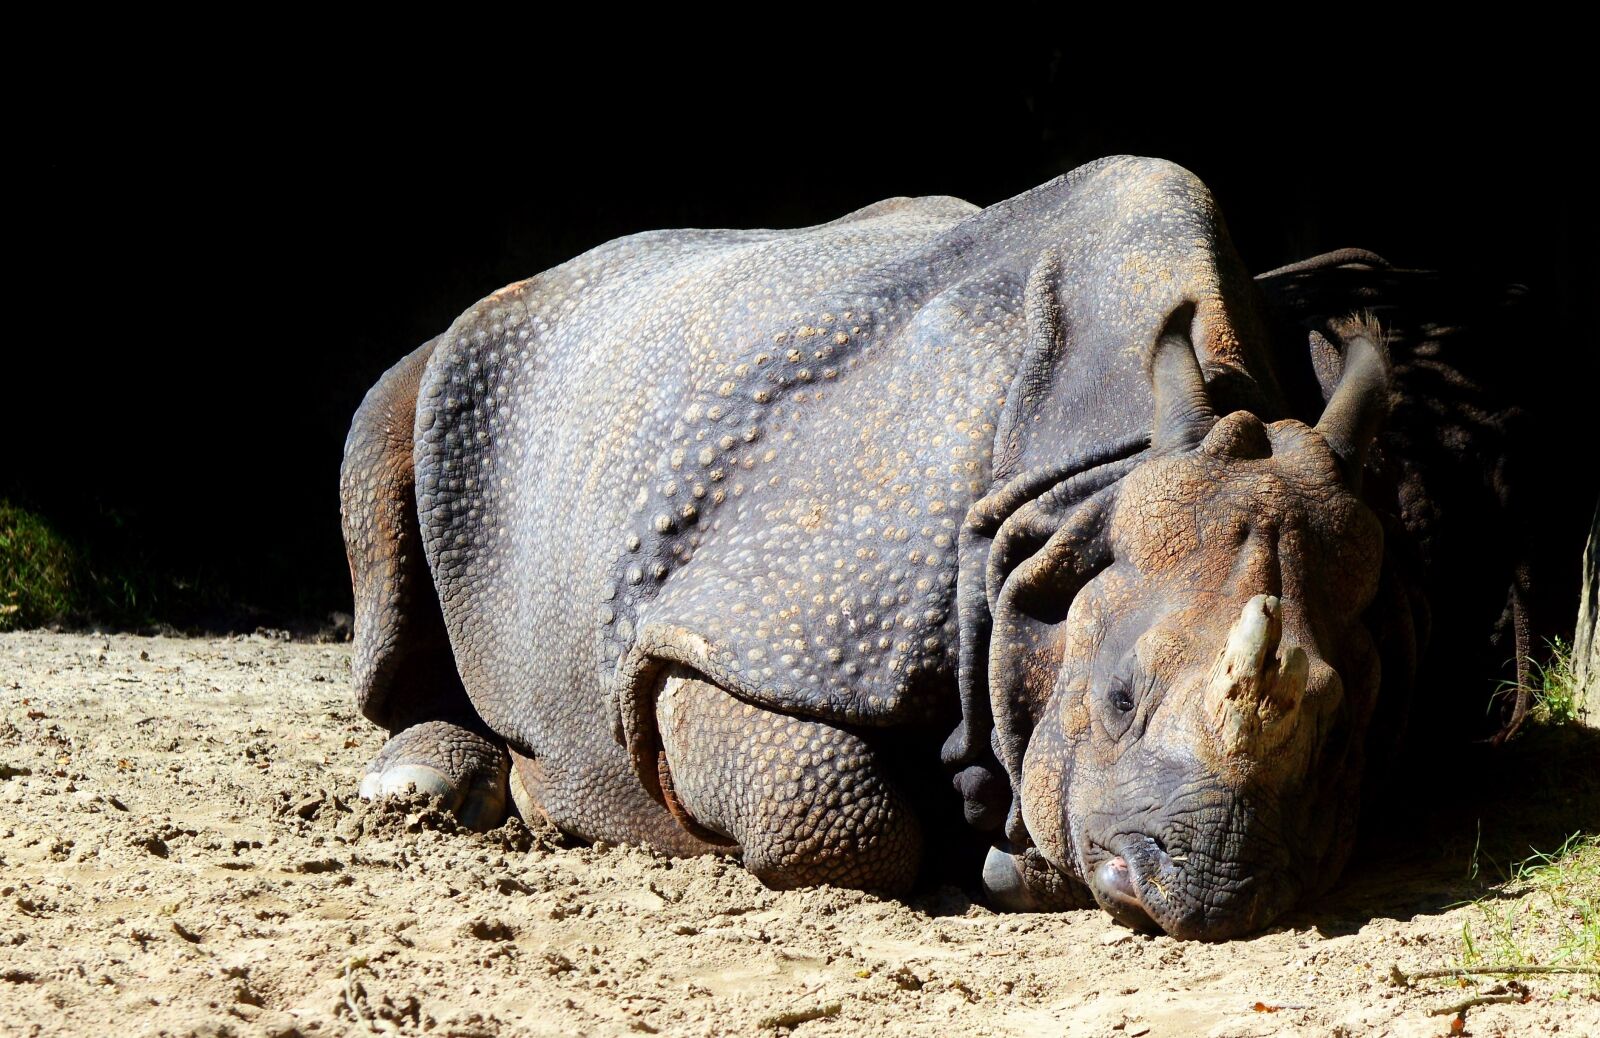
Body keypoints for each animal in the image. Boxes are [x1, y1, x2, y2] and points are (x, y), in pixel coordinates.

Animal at [339, 155, 1546, 940]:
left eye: (1342, 722)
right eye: (1116, 700)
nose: (1206, 889)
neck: (1076, 507)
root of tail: (563, 269)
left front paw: (1015, 858)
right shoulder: (767, 619)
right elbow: (828, 811)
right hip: (476, 355)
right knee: (386, 471)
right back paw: (435, 785)